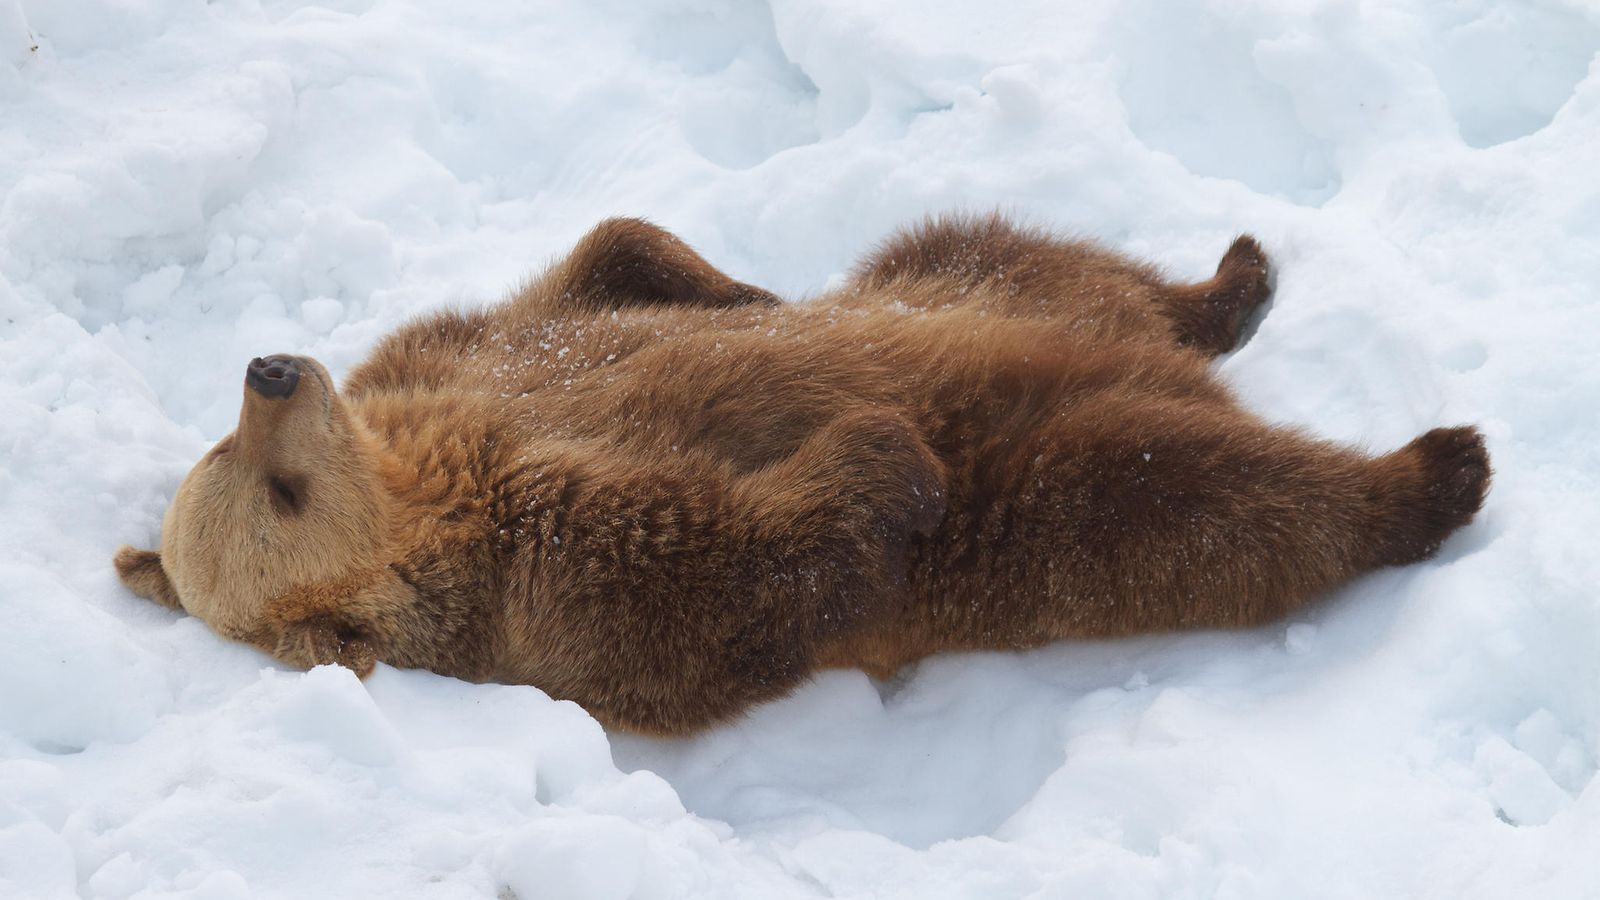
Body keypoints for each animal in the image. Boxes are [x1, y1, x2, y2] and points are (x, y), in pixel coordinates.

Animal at [109, 212, 1484, 733]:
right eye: (272, 495)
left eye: (229, 455)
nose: (271, 372)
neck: (429, 473)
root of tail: (1155, 367)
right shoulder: (552, 567)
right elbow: (744, 580)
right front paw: (880, 445)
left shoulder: (475, 354)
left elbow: (597, 262)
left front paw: (742, 288)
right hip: (1069, 491)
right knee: (1215, 505)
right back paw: (1437, 469)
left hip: (970, 278)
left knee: (1031, 248)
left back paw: (1235, 280)